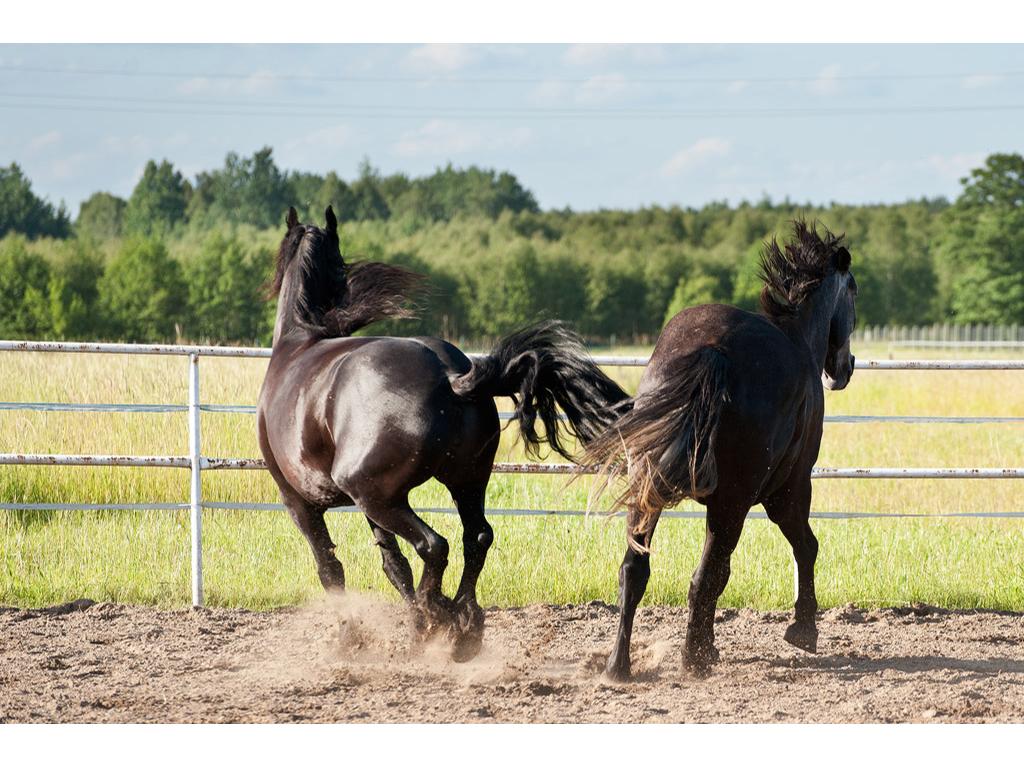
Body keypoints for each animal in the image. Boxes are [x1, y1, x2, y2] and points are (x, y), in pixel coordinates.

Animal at [256, 208, 626, 663]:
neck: (296, 345)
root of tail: (451, 376)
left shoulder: (300, 502)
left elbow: (331, 568)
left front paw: (350, 637)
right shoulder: (365, 507)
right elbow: (392, 565)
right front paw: (413, 626)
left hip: (381, 496)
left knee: (435, 545)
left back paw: (440, 614)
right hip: (460, 482)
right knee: (476, 538)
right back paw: (464, 625)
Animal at [585, 221, 856, 679]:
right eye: (853, 290)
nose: (845, 368)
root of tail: (714, 351)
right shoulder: (788, 490)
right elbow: (805, 546)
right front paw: (803, 630)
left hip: (649, 489)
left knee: (635, 570)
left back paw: (618, 666)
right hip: (734, 502)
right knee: (707, 573)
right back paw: (694, 659)